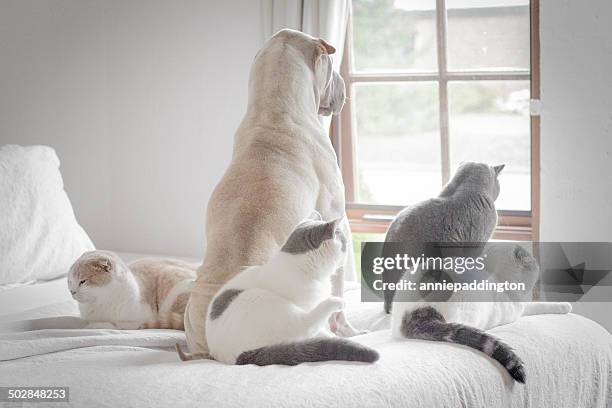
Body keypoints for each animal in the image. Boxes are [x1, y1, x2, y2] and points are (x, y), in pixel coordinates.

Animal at [194, 218, 380, 364]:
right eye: (344, 244)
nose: (348, 251)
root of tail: (238, 357)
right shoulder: (307, 305)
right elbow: (321, 329)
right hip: (260, 300)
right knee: (306, 325)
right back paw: (336, 303)